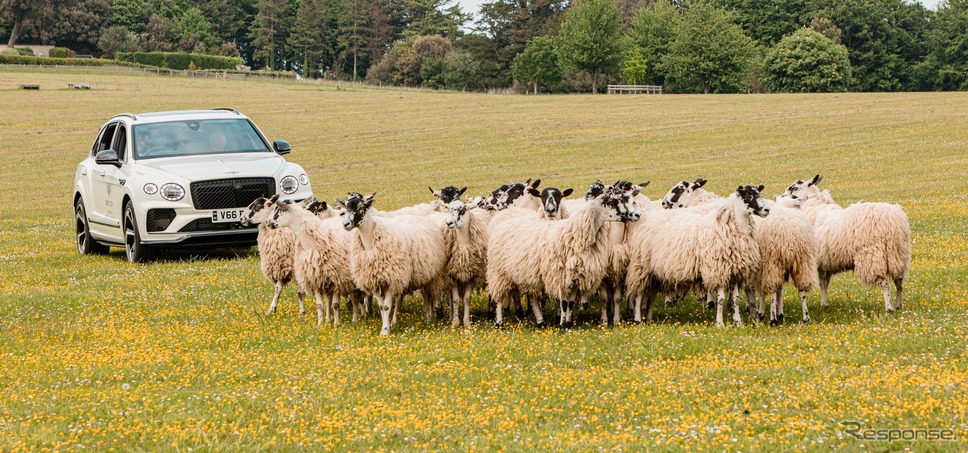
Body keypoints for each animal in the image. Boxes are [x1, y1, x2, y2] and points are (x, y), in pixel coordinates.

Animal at [336, 192, 450, 334]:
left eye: (361, 208)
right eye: (345, 208)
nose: (345, 224)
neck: (370, 244)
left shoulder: (391, 279)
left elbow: (386, 306)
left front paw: (385, 330)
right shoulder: (376, 280)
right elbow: (381, 306)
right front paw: (386, 326)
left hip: (431, 274)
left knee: (427, 296)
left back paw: (429, 317)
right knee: (405, 299)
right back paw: (397, 321)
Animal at [784, 175, 912, 312]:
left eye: (794, 188)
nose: (782, 196)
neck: (813, 207)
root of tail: (894, 221)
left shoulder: (819, 261)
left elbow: (822, 282)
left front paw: (823, 303)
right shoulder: (826, 262)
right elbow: (825, 283)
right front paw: (824, 304)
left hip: (873, 257)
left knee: (885, 283)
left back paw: (889, 308)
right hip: (898, 255)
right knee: (899, 282)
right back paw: (899, 305)